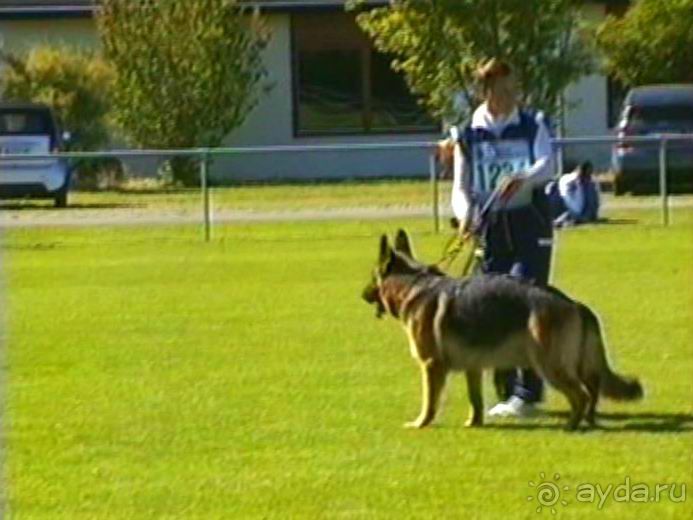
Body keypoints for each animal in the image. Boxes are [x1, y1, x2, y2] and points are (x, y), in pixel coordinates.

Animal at [362, 231, 644, 430]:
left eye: (372, 277)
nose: (361, 295)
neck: (412, 285)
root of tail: (574, 303)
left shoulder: (431, 366)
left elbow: (429, 402)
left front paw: (420, 423)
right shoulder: (473, 368)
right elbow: (475, 400)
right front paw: (474, 423)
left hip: (550, 365)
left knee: (581, 395)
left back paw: (572, 425)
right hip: (578, 365)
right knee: (593, 390)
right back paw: (589, 421)